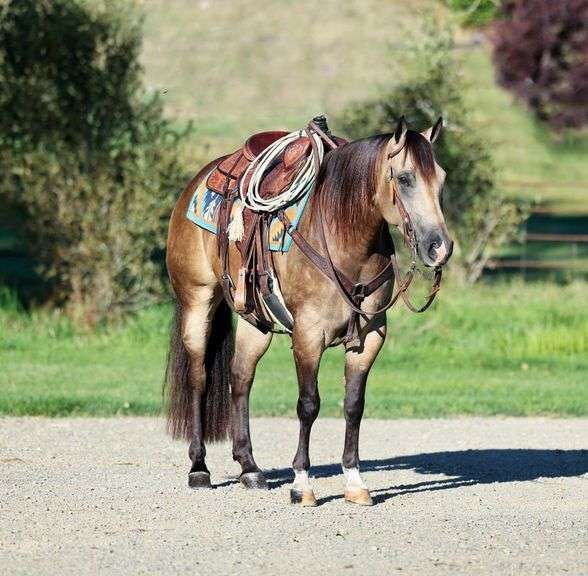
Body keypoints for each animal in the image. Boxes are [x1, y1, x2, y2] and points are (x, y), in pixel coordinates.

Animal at [165, 116, 454, 504]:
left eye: (441, 178)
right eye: (405, 178)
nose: (439, 247)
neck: (341, 234)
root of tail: (200, 179)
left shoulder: (370, 336)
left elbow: (354, 404)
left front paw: (354, 482)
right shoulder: (308, 334)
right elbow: (308, 404)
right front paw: (302, 484)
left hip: (255, 322)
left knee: (240, 378)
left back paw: (250, 468)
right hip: (197, 302)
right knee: (199, 377)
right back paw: (199, 467)